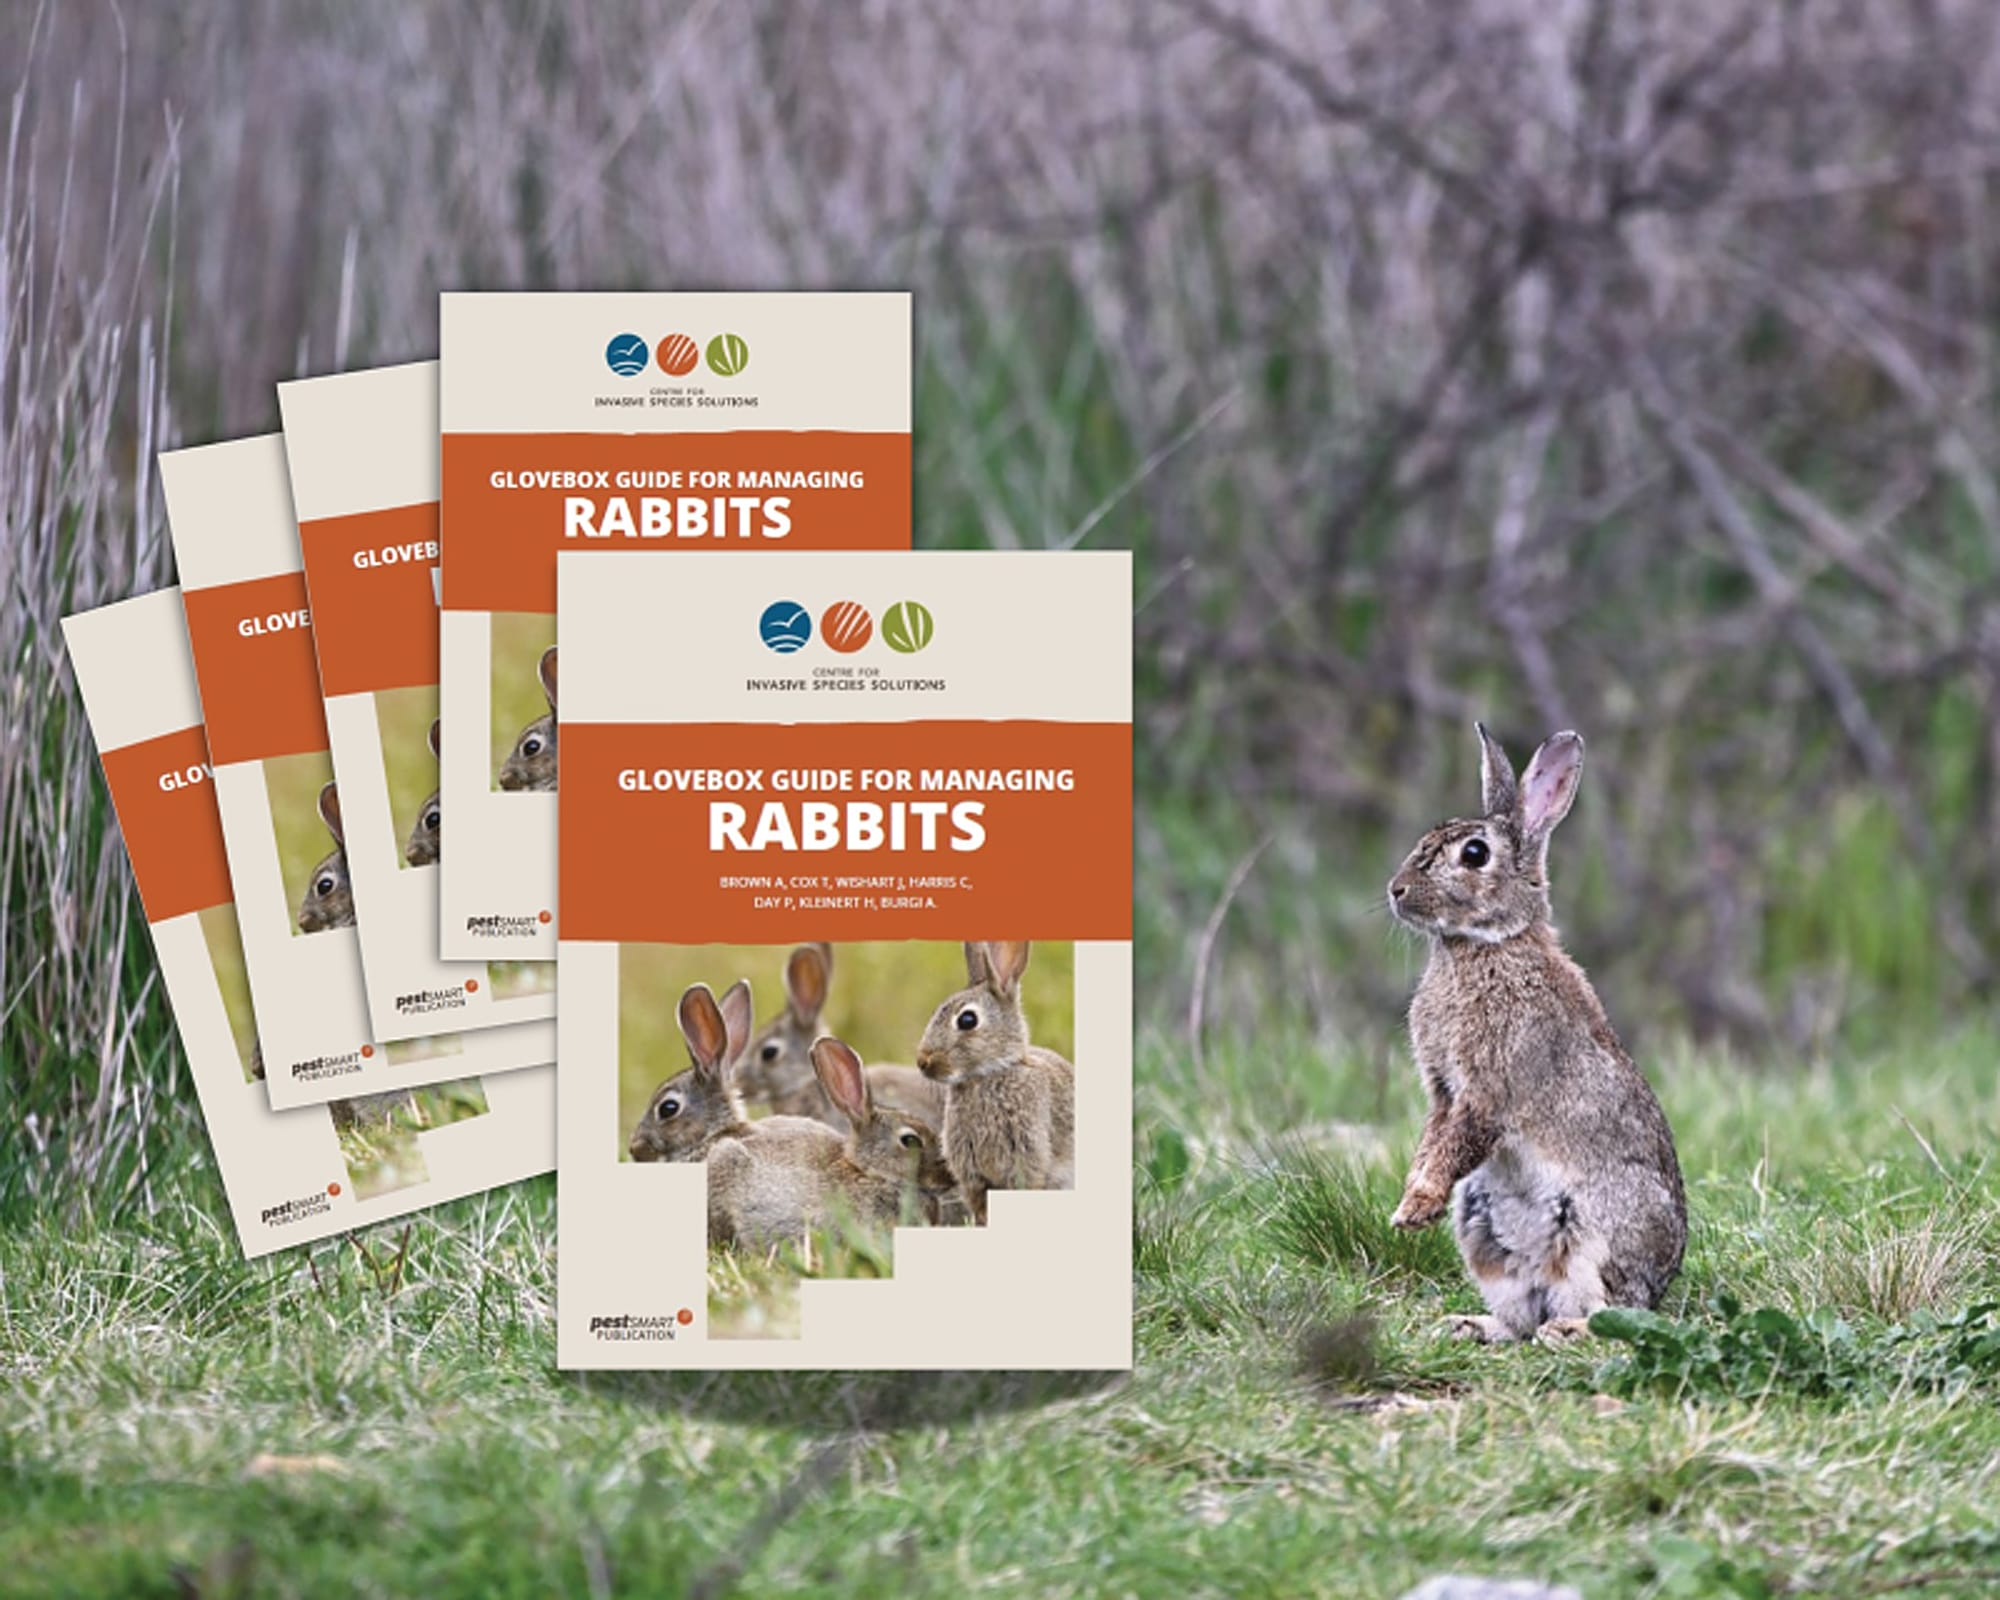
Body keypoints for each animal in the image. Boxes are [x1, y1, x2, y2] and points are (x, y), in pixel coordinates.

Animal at [1385, 723, 1686, 1344]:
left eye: (1474, 853)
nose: (1395, 890)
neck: (1486, 945)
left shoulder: (1488, 1091)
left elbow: (1457, 1142)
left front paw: (1415, 1210)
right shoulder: (1443, 1092)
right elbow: (1432, 1140)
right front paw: (1409, 1205)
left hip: (1598, 1234)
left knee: (1612, 1313)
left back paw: (1565, 1332)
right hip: (1481, 1228)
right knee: (1518, 1319)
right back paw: (1467, 1326)